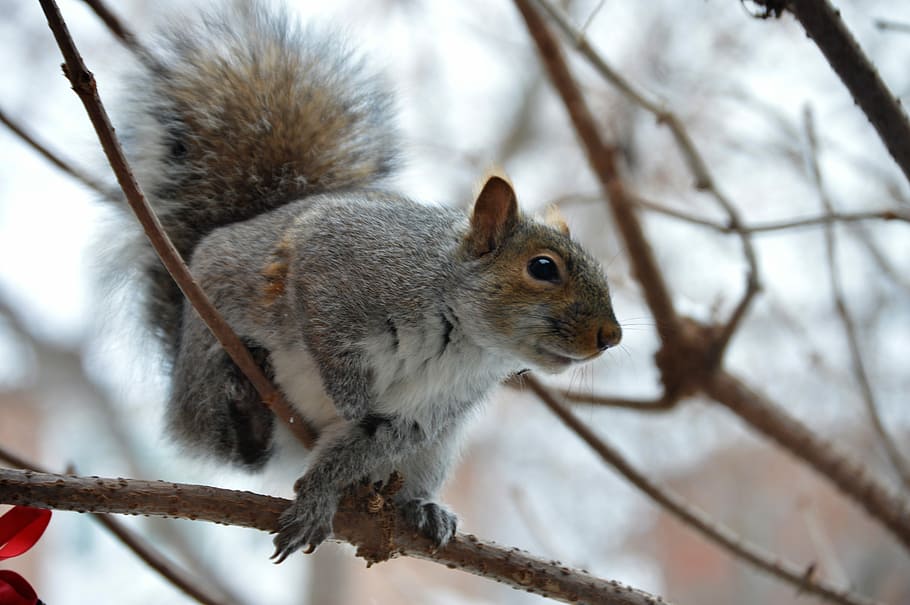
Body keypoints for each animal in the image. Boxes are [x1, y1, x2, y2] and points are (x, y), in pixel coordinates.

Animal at [118, 1, 621, 561]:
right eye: (543, 268)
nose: (612, 335)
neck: (460, 336)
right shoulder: (336, 262)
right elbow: (326, 336)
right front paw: (348, 396)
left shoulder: (426, 414)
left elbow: (366, 443)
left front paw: (319, 496)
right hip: (207, 342)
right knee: (219, 437)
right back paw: (244, 402)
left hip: (437, 450)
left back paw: (420, 507)